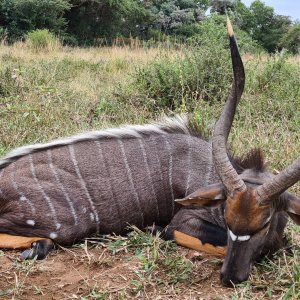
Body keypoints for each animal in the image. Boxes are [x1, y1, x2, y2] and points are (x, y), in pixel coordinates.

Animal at [0, 18, 300, 286]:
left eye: (264, 222)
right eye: (226, 217)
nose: (230, 277)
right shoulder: (186, 219)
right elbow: (186, 234)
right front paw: (156, 230)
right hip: (67, 224)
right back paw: (36, 247)